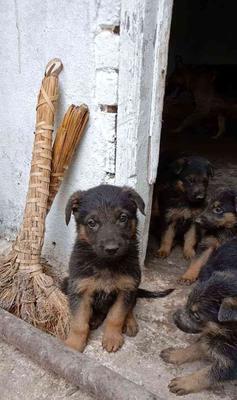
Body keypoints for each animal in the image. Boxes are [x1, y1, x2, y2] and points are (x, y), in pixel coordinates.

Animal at [160, 236, 237, 396]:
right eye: (187, 301)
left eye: (196, 316)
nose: (174, 317)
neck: (229, 333)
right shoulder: (211, 336)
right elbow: (195, 347)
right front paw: (176, 354)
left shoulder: (232, 364)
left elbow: (207, 374)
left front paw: (184, 382)